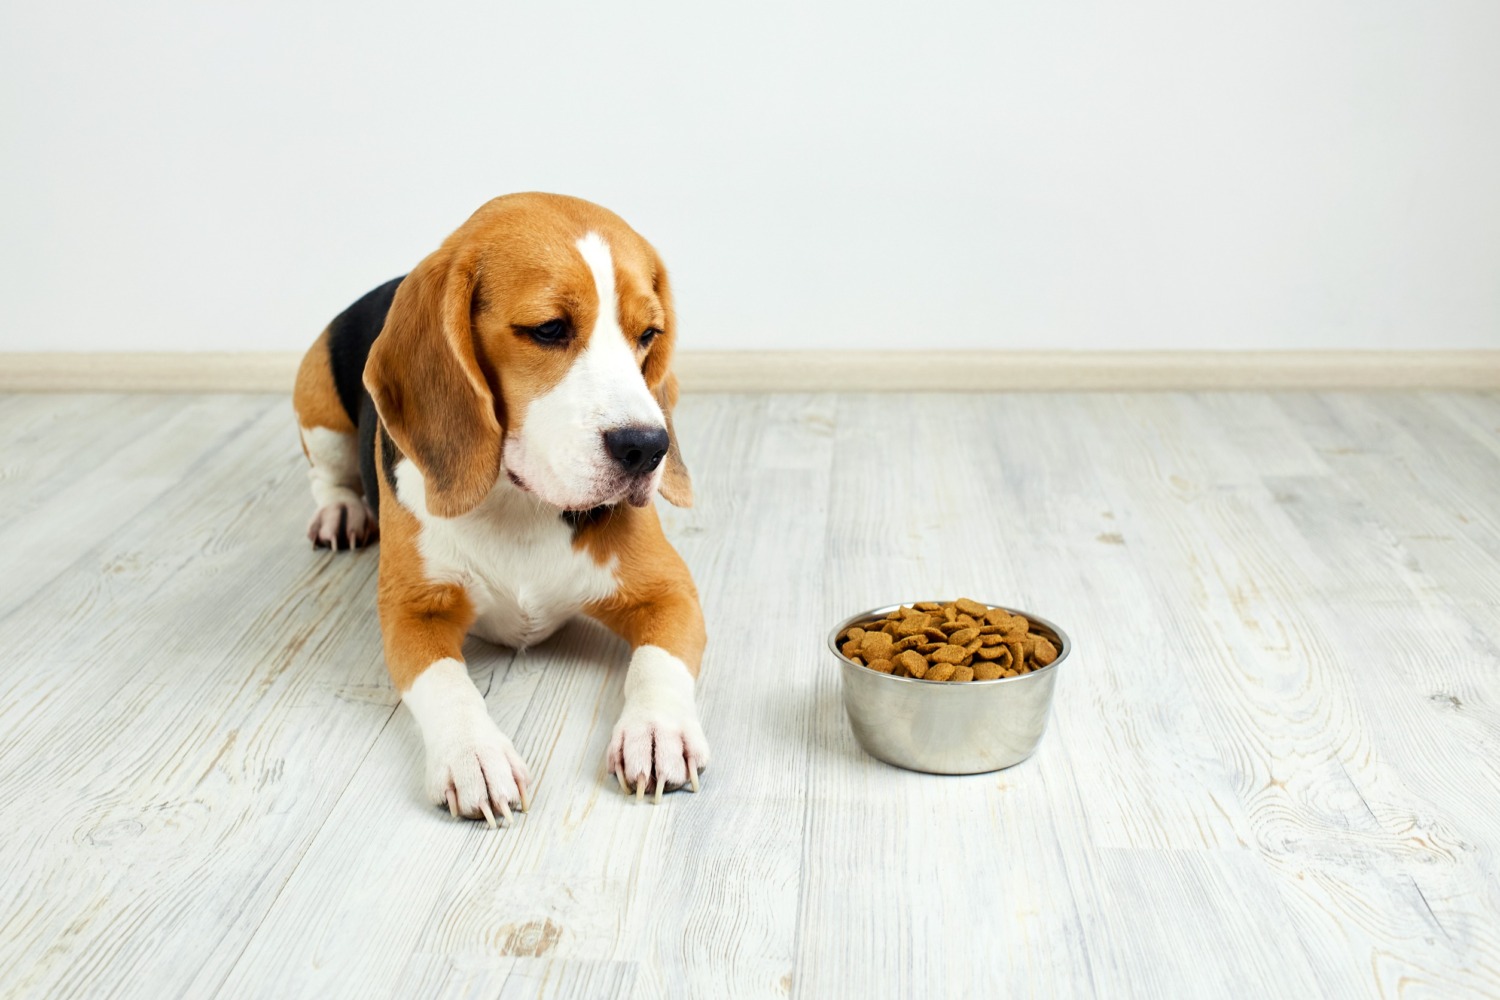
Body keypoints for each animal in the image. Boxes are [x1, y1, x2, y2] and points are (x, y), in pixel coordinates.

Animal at [298, 191, 714, 827]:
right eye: (548, 329)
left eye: (649, 333)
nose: (647, 448)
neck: (521, 500)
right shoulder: (411, 611)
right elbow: (446, 683)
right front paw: (474, 756)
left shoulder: (670, 590)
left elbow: (658, 661)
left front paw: (657, 730)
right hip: (315, 397)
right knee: (327, 474)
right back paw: (341, 512)